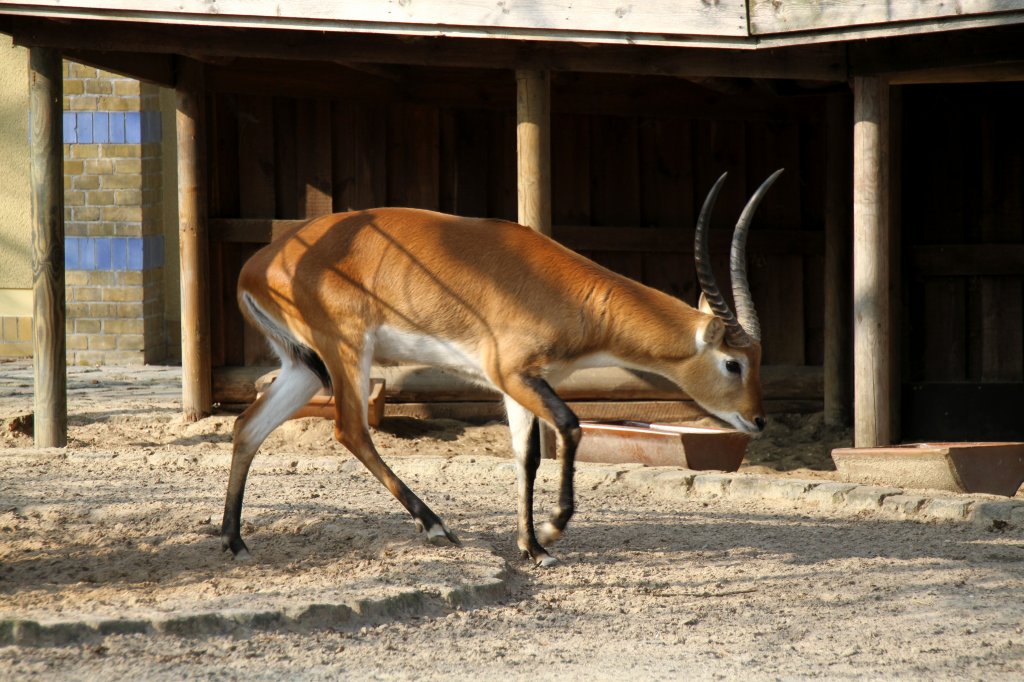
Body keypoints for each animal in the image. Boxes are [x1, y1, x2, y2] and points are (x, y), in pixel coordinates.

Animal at [226, 168, 782, 561]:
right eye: (734, 363)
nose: (757, 419)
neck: (563, 293)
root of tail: (256, 265)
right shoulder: (512, 375)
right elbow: (571, 426)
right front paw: (553, 531)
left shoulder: (525, 384)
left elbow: (526, 457)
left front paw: (531, 548)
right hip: (346, 352)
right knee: (350, 429)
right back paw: (436, 525)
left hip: (305, 367)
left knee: (247, 426)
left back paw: (235, 541)